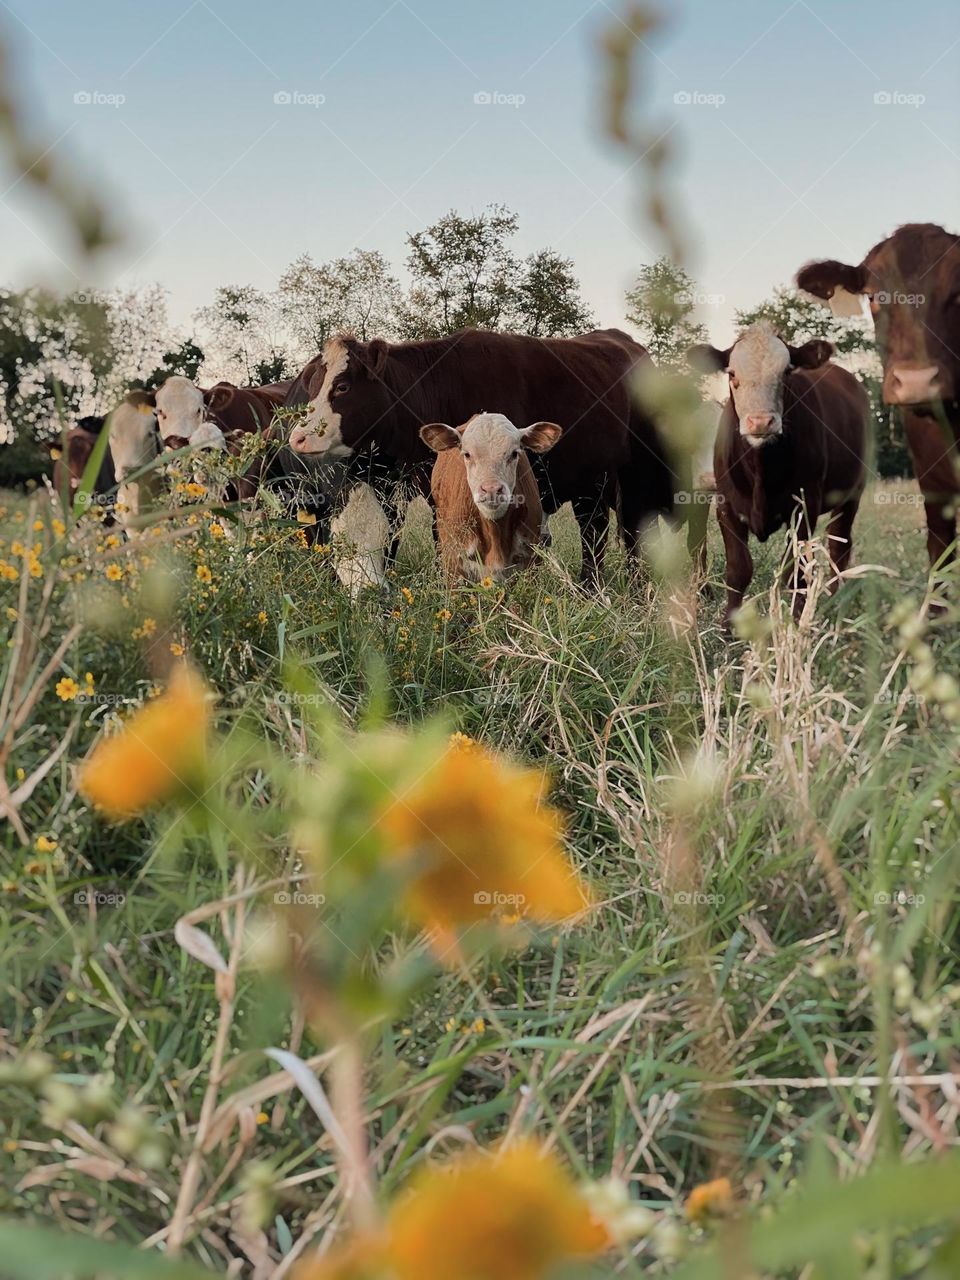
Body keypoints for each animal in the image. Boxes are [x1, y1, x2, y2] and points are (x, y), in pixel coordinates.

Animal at [688, 322, 868, 627]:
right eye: (732, 374)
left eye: (786, 373)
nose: (761, 422)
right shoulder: (726, 505)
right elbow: (738, 569)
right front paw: (728, 628)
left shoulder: (805, 506)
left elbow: (795, 571)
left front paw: (796, 623)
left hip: (852, 494)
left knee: (838, 547)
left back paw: (836, 603)